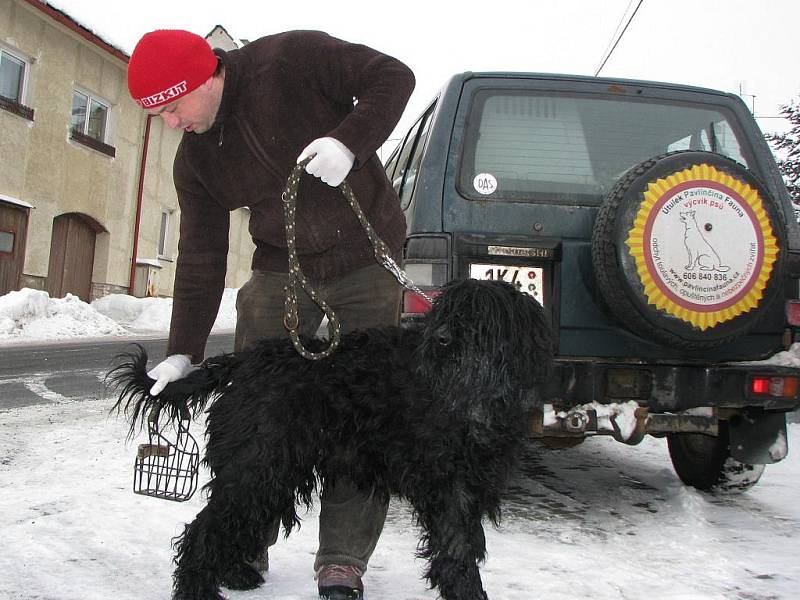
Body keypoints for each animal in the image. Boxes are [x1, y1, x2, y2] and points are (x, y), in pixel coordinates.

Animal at [109, 280, 552, 600]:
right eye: (445, 311)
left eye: (481, 316)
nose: (442, 339)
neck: (468, 392)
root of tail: (246, 361)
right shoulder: (448, 483)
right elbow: (458, 548)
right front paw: (468, 593)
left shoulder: (468, 481)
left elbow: (464, 545)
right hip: (258, 464)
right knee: (205, 529)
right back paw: (197, 590)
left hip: (273, 470)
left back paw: (236, 574)